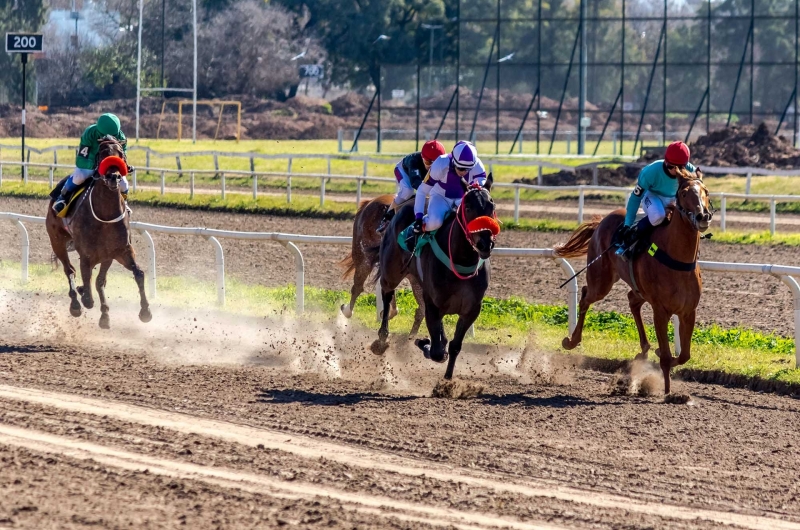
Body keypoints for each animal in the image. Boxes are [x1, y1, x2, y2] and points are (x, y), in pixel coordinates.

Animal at [46, 136, 152, 326]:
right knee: (70, 270)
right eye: (102, 153)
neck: (105, 215)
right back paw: (75, 304)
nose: (114, 176)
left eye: (120, 153)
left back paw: (103, 314)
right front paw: (83, 295)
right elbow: (88, 290)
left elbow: (137, 274)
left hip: (105, 256)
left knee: (98, 280)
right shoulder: (86, 254)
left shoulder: (121, 251)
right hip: (57, 241)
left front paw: (145, 311)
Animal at [372, 176, 496, 380]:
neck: (461, 260)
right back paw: (381, 339)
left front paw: (448, 379)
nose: (485, 243)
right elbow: (437, 351)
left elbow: (454, 346)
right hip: (391, 272)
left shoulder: (471, 309)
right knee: (387, 294)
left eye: (491, 206)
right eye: (468, 207)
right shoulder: (434, 304)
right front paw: (423, 343)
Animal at [552, 169, 716, 392]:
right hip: (601, 280)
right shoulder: (660, 311)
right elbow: (666, 357)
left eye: (706, 191)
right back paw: (571, 341)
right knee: (586, 296)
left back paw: (644, 349)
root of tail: (602, 220)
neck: (677, 258)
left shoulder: (688, 311)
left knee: (632, 300)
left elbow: (684, 355)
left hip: (639, 289)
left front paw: (661, 359)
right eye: (683, 193)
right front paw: (667, 392)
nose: (702, 216)